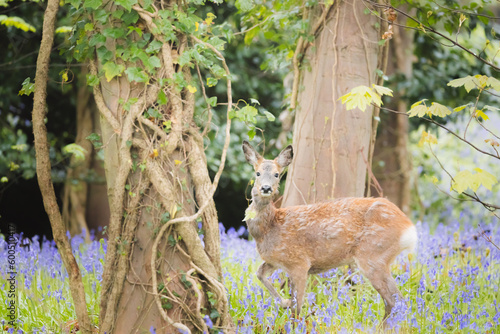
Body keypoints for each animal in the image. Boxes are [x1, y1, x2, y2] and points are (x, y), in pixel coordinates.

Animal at [242, 140, 418, 320]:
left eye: (277, 174)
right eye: (257, 173)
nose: (265, 188)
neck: (269, 228)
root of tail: (409, 227)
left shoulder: (299, 262)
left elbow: (297, 307)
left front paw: (291, 315)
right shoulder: (275, 260)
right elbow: (259, 273)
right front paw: (284, 302)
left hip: (373, 254)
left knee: (394, 300)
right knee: (395, 301)